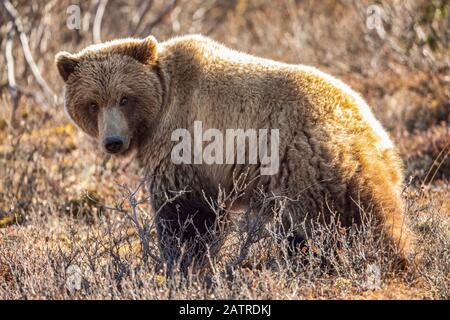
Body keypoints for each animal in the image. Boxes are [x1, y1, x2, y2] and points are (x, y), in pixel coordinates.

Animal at [55, 34, 414, 270]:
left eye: (125, 97)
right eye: (92, 103)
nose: (113, 141)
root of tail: (363, 133)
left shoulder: (184, 139)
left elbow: (185, 212)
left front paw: (181, 262)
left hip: (301, 165)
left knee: (319, 224)